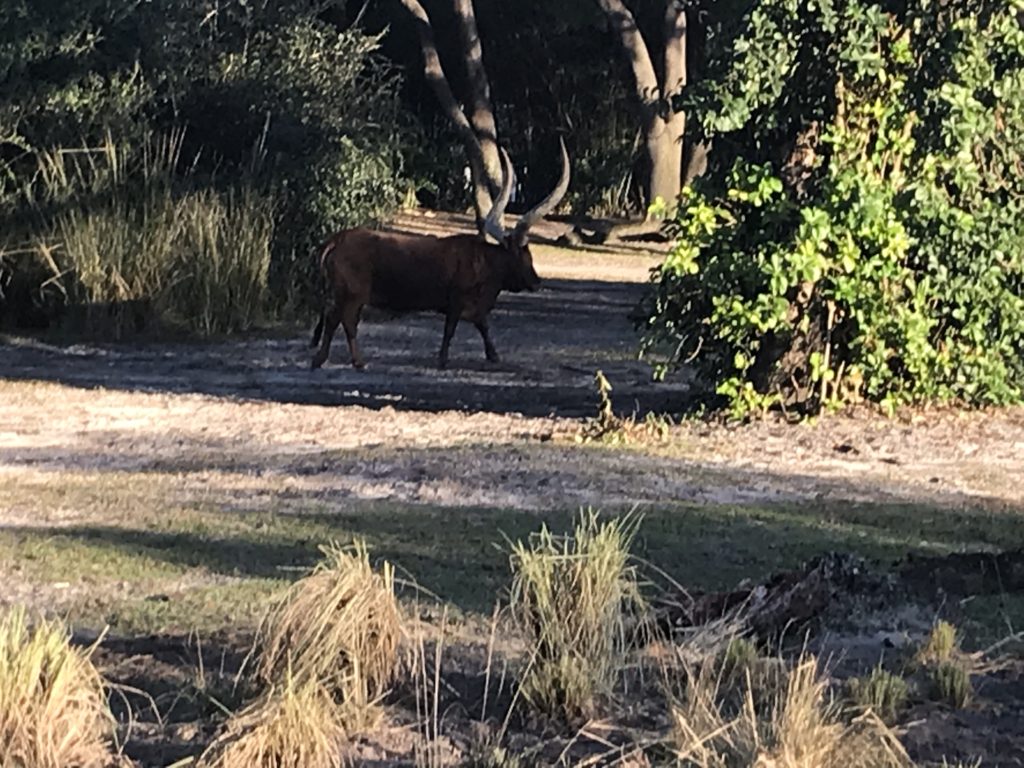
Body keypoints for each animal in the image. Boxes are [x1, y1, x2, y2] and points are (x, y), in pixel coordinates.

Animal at [307, 144, 573, 372]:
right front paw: (444, 359)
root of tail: (337, 239)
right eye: (525, 254)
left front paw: (493, 355)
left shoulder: (474, 308)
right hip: (353, 295)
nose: (536, 281)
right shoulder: (456, 301)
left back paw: (324, 359)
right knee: (344, 321)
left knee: (334, 320)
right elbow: (451, 329)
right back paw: (354, 361)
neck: (485, 259)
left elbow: (483, 325)